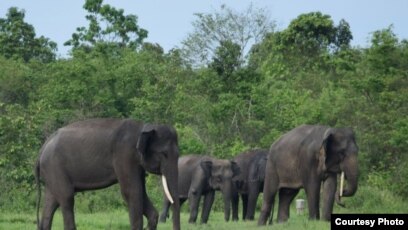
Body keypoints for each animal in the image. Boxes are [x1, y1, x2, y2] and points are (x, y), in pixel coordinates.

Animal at [35, 118, 182, 230]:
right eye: (164, 154)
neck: (144, 127)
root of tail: (42, 149)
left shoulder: (137, 164)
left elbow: (141, 193)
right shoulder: (124, 155)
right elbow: (131, 192)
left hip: (51, 172)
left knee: (52, 201)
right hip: (55, 167)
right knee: (67, 197)